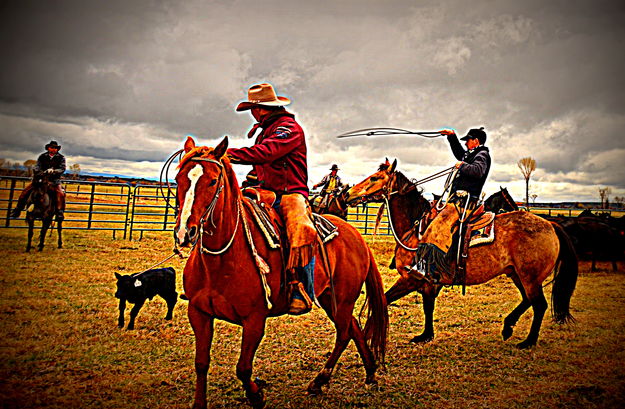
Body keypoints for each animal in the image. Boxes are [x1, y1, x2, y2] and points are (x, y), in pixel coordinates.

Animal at [171, 137, 386, 408]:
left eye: (211, 181)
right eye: (179, 179)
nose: (184, 233)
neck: (220, 261)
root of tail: (357, 237)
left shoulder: (254, 319)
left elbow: (243, 368)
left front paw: (256, 396)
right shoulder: (198, 313)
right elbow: (201, 363)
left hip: (344, 300)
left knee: (344, 333)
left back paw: (321, 380)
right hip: (330, 298)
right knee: (354, 327)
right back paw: (369, 374)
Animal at [344, 158, 576, 350]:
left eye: (374, 177)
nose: (347, 193)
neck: (416, 227)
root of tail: (551, 225)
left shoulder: (412, 278)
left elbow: (383, 300)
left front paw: (368, 334)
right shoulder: (429, 284)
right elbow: (427, 306)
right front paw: (426, 335)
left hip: (529, 277)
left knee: (539, 305)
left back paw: (528, 341)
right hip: (517, 275)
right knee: (529, 301)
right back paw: (508, 327)